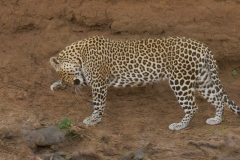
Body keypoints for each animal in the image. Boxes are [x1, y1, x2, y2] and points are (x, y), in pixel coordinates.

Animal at [49, 35, 240, 131]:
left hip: (180, 80)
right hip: (202, 79)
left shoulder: (98, 82)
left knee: (193, 107)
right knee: (218, 99)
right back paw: (216, 120)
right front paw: (57, 85)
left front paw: (94, 119)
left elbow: (98, 103)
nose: (73, 83)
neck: (79, 54)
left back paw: (179, 126)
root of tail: (202, 46)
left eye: (66, 74)